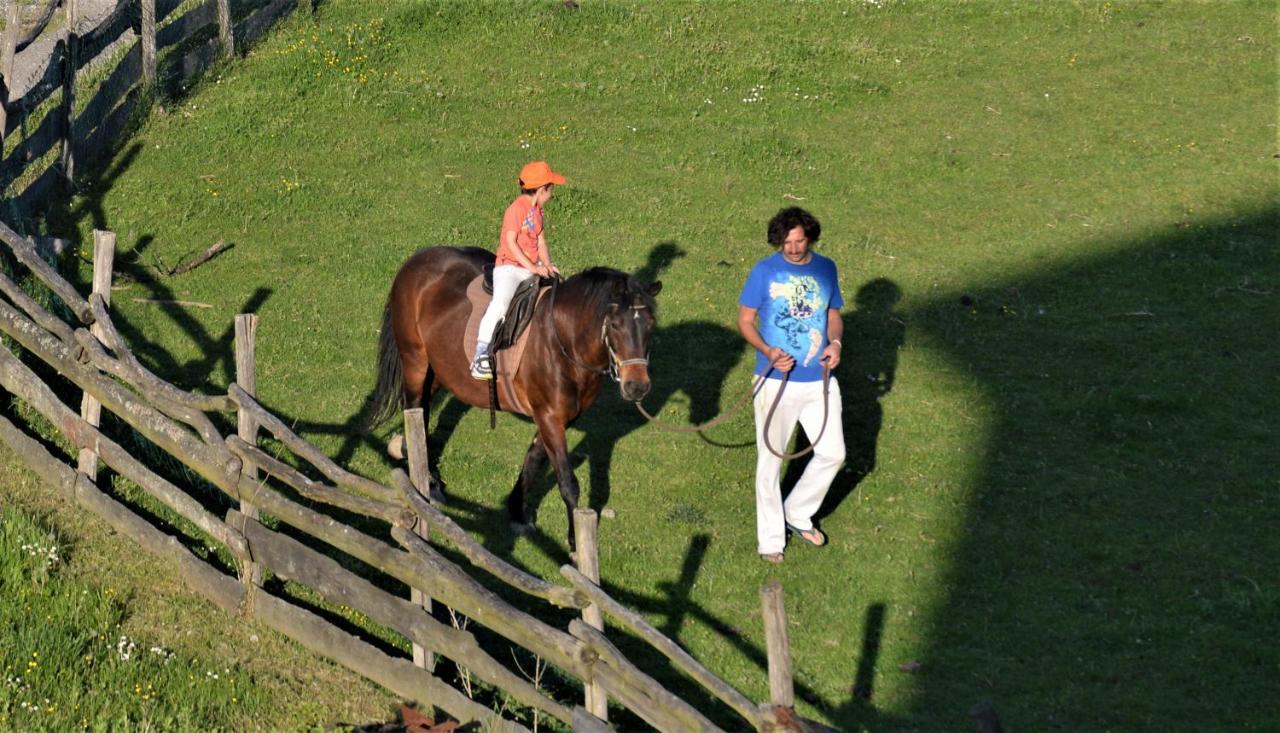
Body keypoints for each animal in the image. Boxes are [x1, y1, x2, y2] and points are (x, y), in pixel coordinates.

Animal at [363, 244, 655, 542]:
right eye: (616, 325)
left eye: (650, 325)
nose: (637, 386)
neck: (563, 340)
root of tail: (417, 259)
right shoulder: (550, 416)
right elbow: (567, 480)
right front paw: (575, 539)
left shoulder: (558, 417)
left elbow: (534, 460)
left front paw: (517, 511)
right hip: (415, 361)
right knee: (414, 408)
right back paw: (428, 481)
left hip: (437, 370)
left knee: (421, 413)